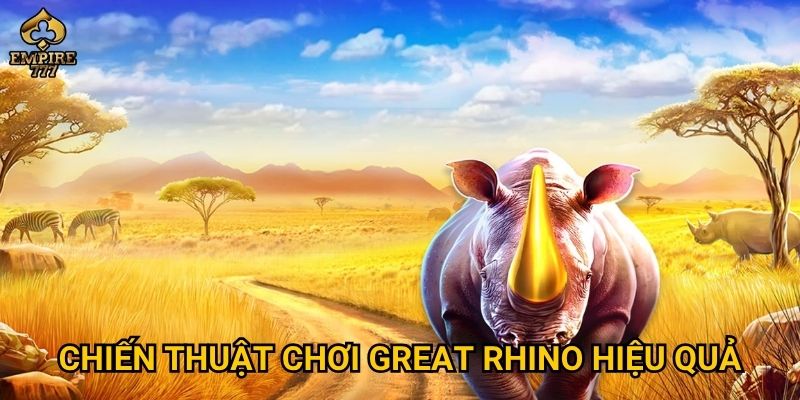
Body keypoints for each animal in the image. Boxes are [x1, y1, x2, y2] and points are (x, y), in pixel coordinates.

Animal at [421, 149, 660, 400]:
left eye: (588, 276)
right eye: (484, 275)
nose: (534, 341)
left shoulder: (612, 310)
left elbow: (575, 376)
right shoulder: (460, 312)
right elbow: (497, 382)